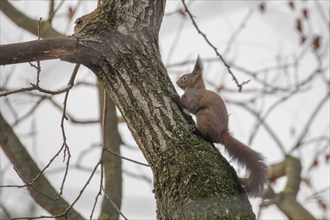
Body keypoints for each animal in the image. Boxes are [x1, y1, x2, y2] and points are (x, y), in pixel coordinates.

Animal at [173, 55, 268, 197]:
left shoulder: (193, 98)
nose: (176, 82)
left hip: (203, 116)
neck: (195, 87)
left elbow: (188, 105)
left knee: (208, 136)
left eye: (185, 77)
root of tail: (222, 134)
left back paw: (197, 131)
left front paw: (175, 97)